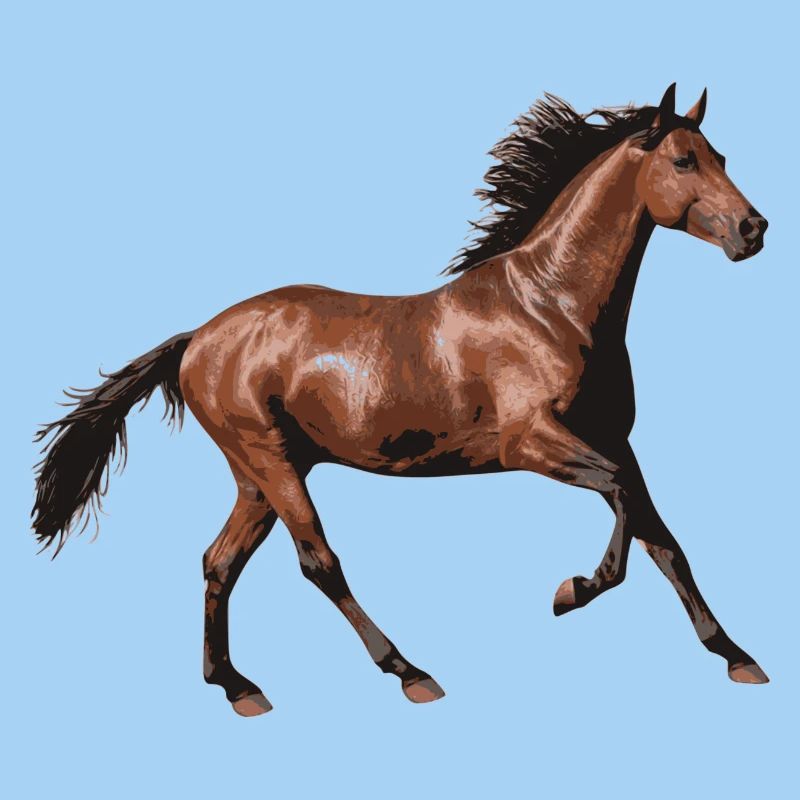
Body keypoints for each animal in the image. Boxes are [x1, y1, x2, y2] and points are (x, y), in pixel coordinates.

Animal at [32, 84, 770, 716]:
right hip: (271, 462)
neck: (550, 308)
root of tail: (197, 339)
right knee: (318, 562)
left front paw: (737, 657)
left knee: (220, 562)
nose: (753, 228)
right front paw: (571, 592)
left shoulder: (615, 438)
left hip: (258, 476)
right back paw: (410, 672)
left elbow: (662, 537)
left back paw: (237, 686)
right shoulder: (532, 443)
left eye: (722, 157)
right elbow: (619, 501)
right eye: (683, 159)